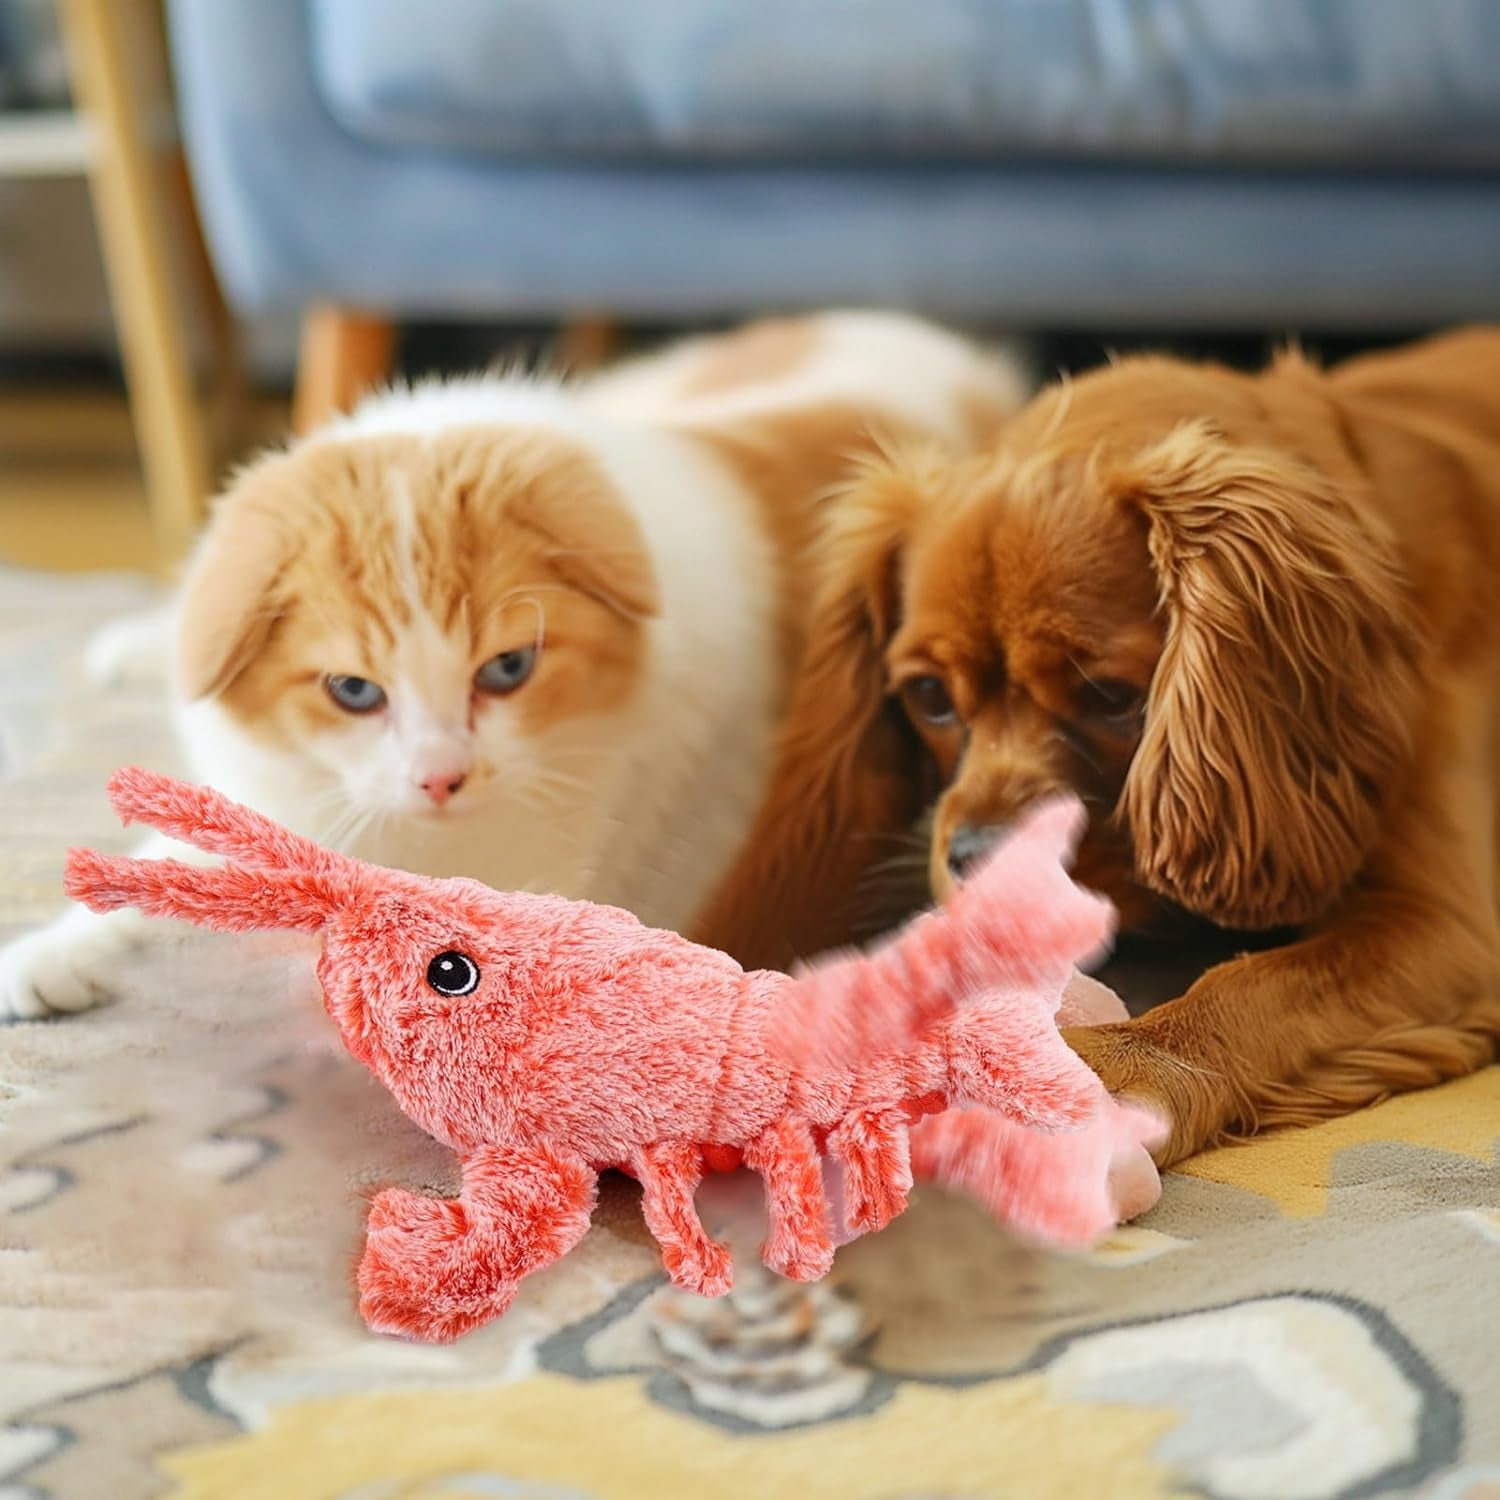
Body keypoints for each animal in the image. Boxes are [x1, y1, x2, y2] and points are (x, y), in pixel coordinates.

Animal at [699, 328, 1500, 1164]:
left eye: (1112, 696)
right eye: (929, 697)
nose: (983, 861)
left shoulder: (1442, 929)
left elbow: (1249, 984)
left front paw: (1115, 1069)